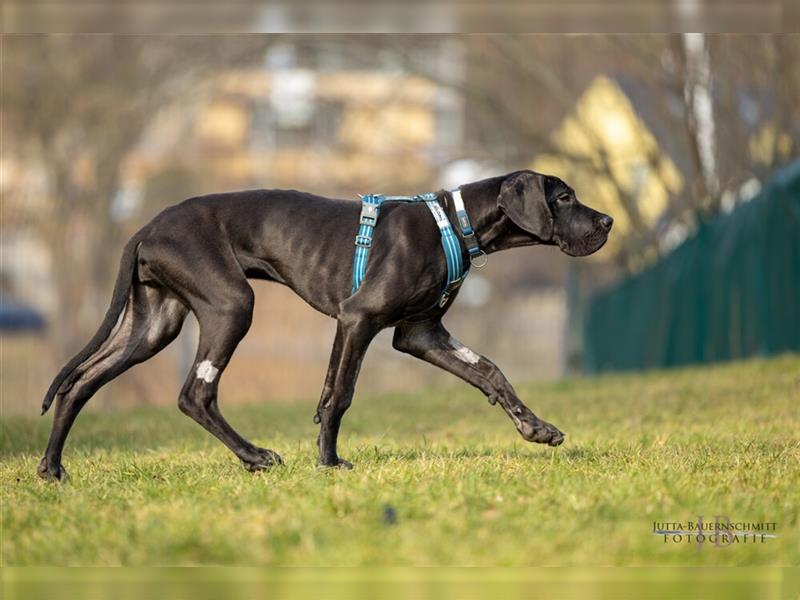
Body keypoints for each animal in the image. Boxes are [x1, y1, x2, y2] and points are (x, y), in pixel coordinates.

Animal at [36, 168, 612, 478]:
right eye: (564, 197)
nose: (607, 221)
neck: (454, 223)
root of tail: (147, 227)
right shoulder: (358, 320)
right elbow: (340, 394)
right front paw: (330, 463)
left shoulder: (420, 333)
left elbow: (490, 370)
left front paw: (536, 427)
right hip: (231, 304)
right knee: (194, 394)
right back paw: (255, 456)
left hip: (155, 324)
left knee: (82, 382)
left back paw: (52, 468)